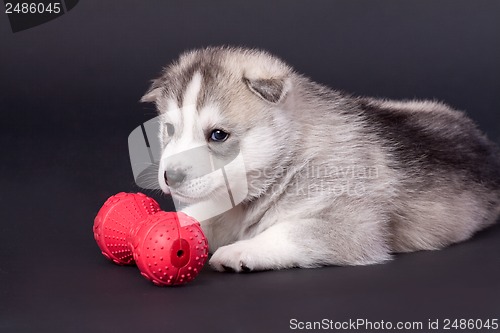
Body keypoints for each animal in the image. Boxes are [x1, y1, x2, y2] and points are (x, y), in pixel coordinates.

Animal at [141, 46, 500, 270]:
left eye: (218, 135)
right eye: (169, 129)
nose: (170, 177)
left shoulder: (352, 227)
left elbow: (289, 232)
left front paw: (240, 250)